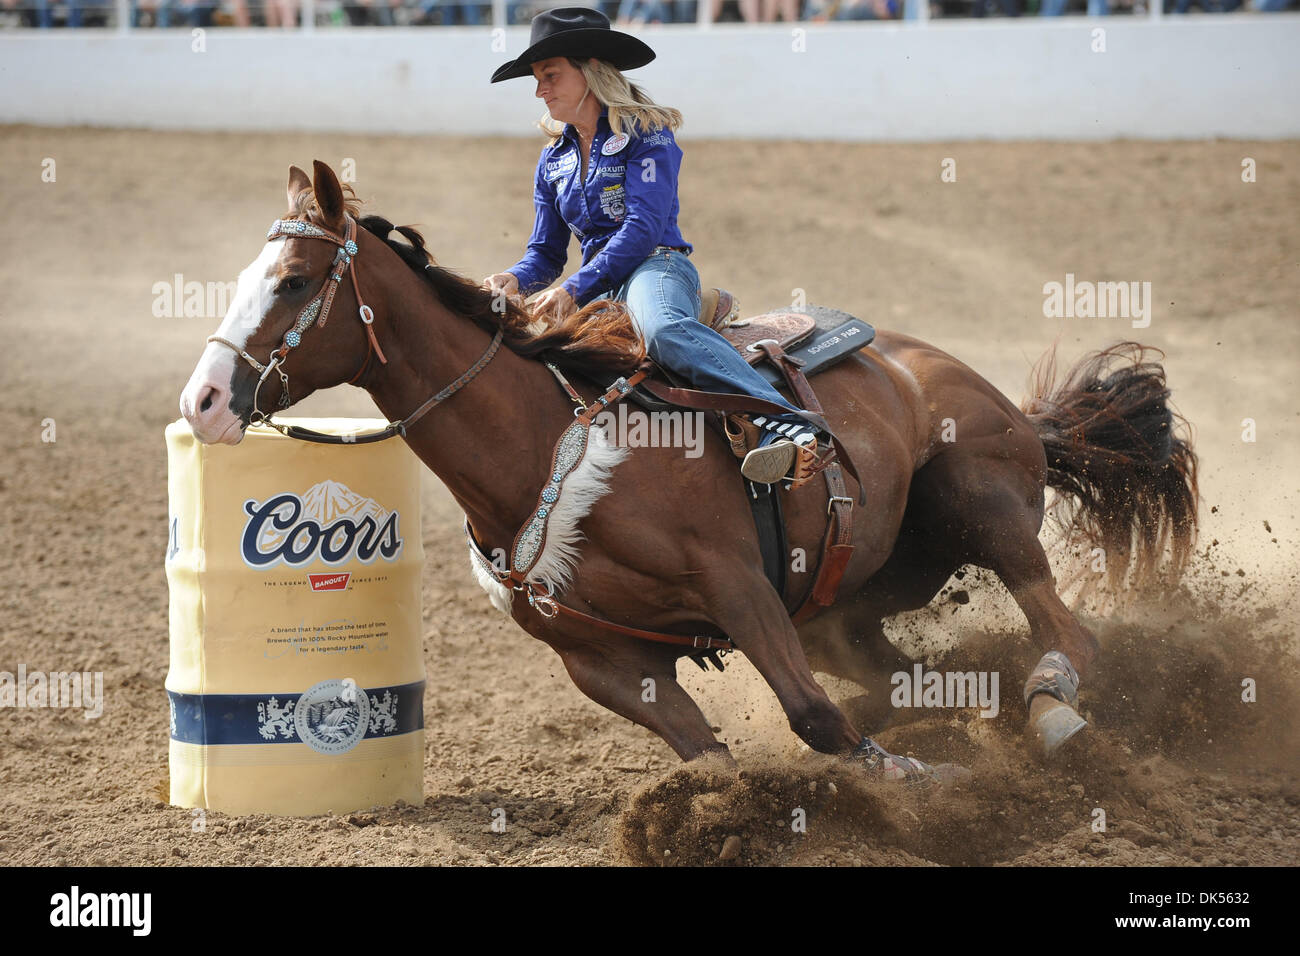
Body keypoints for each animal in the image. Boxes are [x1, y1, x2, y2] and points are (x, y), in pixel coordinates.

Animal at [178, 164, 1190, 790]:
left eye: (295, 279)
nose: (205, 400)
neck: (542, 453)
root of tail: (1002, 399)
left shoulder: (739, 586)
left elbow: (814, 720)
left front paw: (922, 784)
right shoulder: (602, 661)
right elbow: (709, 758)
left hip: (982, 502)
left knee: (1065, 630)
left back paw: (1054, 714)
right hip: (845, 608)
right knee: (917, 677)